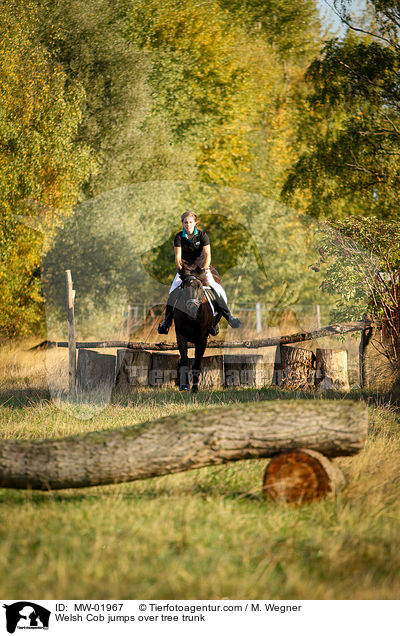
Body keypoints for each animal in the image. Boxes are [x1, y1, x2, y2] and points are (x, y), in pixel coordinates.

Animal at [173, 264, 222, 392]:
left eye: (200, 287)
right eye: (183, 288)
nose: (192, 309)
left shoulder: (202, 339)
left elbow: (196, 363)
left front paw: (195, 389)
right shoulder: (180, 335)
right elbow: (184, 360)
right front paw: (184, 386)